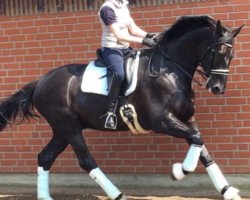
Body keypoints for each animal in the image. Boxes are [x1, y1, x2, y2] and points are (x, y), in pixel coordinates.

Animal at [0, 16, 242, 200]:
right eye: (219, 50)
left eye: (232, 54)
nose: (217, 88)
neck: (170, 69)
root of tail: (41, 82)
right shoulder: (162, 121)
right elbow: (197, 140)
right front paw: (179, 172)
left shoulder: (187, 118)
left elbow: (201, 146)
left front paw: (228, 191)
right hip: (69, 127)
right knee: (86, 161)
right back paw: (118, 195)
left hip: (62, 130)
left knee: (45, 157)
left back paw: (45, 196)